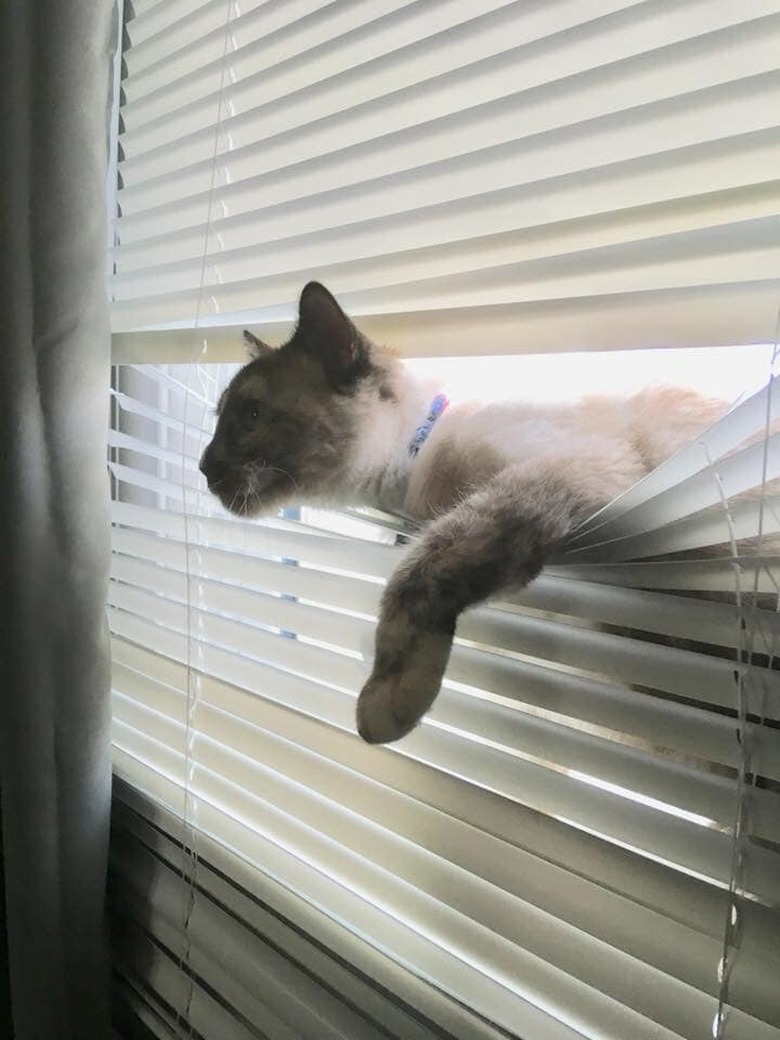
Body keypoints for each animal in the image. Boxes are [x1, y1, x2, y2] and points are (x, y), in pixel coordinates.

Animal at [198, 280, 723, 744]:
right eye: (224, 419)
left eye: (251, 416)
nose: (203, 467)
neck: (413, 487)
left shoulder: (566, 472)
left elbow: (416, 573)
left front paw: (382, 710)